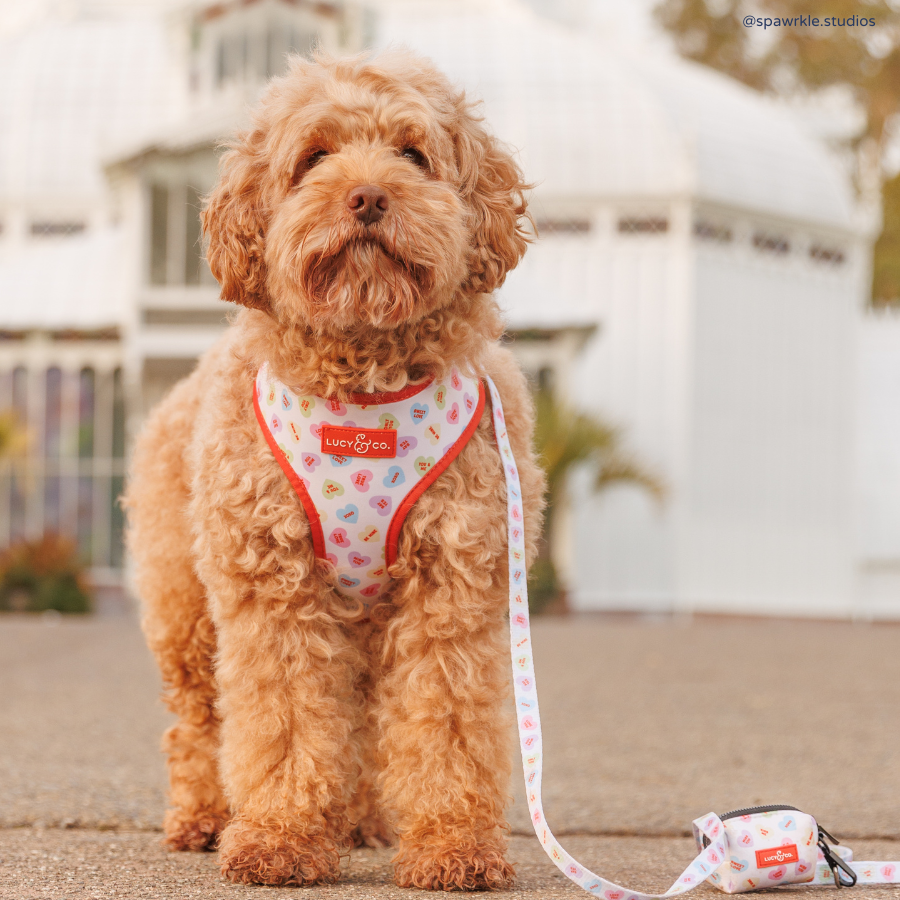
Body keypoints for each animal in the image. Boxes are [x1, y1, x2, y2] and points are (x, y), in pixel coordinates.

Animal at [123, 52, 544, 888]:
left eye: (413, 154)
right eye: (314, 158)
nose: (369, 196)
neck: (364, 376)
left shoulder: (454, 585)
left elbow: (446, 727)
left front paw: (453, 847)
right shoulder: (273, 589)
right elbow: (285, 721)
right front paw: (279, 839)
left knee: (365, 728)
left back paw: (359, 820)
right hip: (186, 612)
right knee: (198, 722)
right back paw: (204, 817)